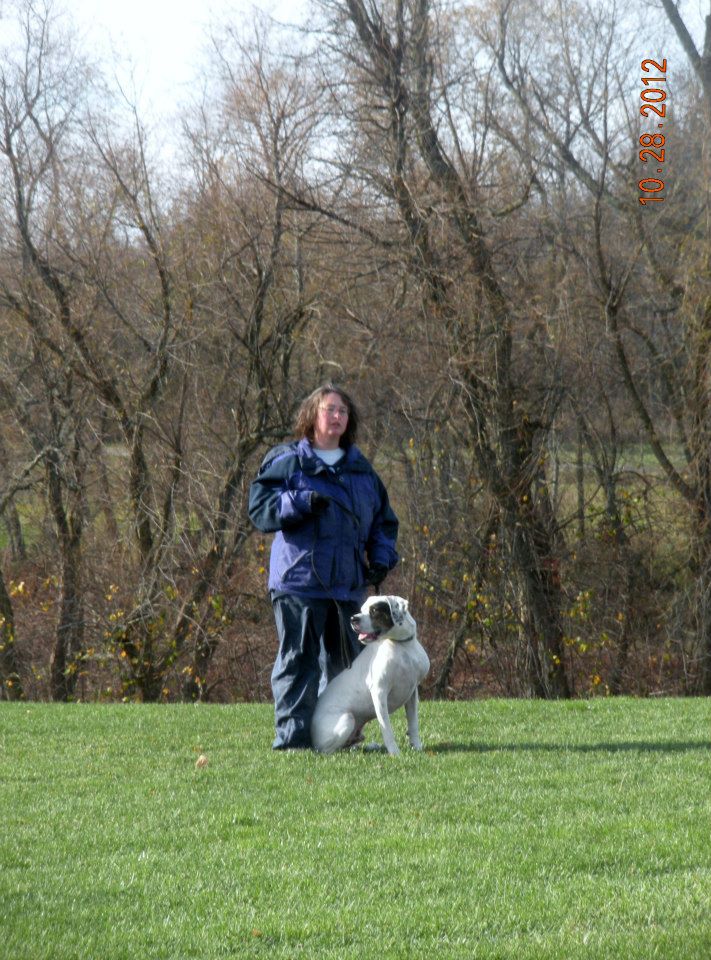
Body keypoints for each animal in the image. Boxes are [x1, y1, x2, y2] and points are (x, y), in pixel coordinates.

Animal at [310, 592, 428, 756]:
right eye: (362, 609)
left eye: (374, 610)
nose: (353, 619)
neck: (402, 646)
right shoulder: (379, 693)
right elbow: (386, 728)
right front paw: (395, 753)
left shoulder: (412, 693)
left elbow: (413, 723)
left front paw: (416, 747)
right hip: (347, 719)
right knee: (328, 750)